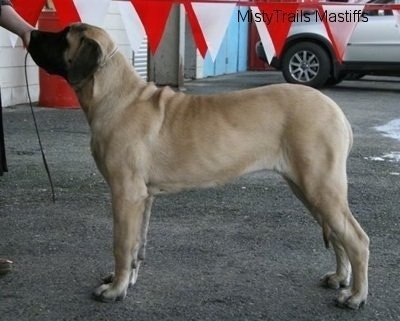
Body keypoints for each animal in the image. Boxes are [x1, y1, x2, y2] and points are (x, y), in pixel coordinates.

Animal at [28, 22, 370, 308]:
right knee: (338, 235)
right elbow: (137, 243)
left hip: (320, 185)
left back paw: (355, 296)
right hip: (307, 188)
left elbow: (121, 244)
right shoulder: (143, 198)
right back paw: (339, 278)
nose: (31, 34)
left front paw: (115, 289)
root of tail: (336, 111)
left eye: (62, 36)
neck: (115, 95)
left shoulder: (125, 193)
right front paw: (128, 281)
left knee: (357, 238)